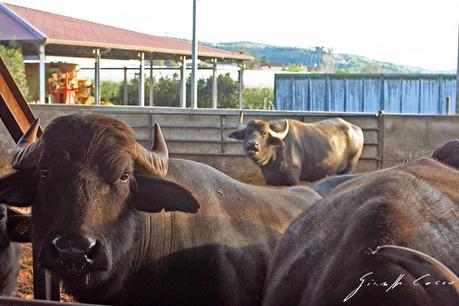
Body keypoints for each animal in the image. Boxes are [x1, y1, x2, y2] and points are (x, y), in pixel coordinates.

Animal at [228, 116, 364, 184]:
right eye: (247, 132)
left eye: (265, 133)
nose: (252, 145)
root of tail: (357, 129)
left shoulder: (293, 180)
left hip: (350, 167)